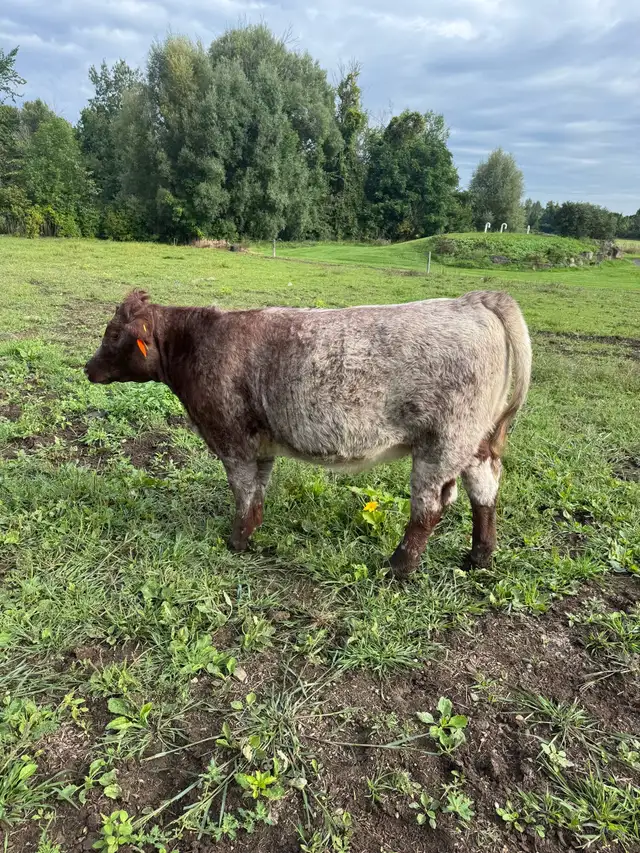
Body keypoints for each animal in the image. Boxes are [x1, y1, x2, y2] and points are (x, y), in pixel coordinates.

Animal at [85, 289, 531, 577]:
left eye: (113, 334)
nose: (87, 368)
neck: (198, 346)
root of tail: (473, 300)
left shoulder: (231, 438)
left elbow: (242, 489)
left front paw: (236, 542)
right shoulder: (260, 442)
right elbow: (258, 489)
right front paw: (252, 530)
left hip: (442, 442)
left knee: (430, 507)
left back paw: (398, 567)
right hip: (473, 441)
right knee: (484, 487)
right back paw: (479, 557)